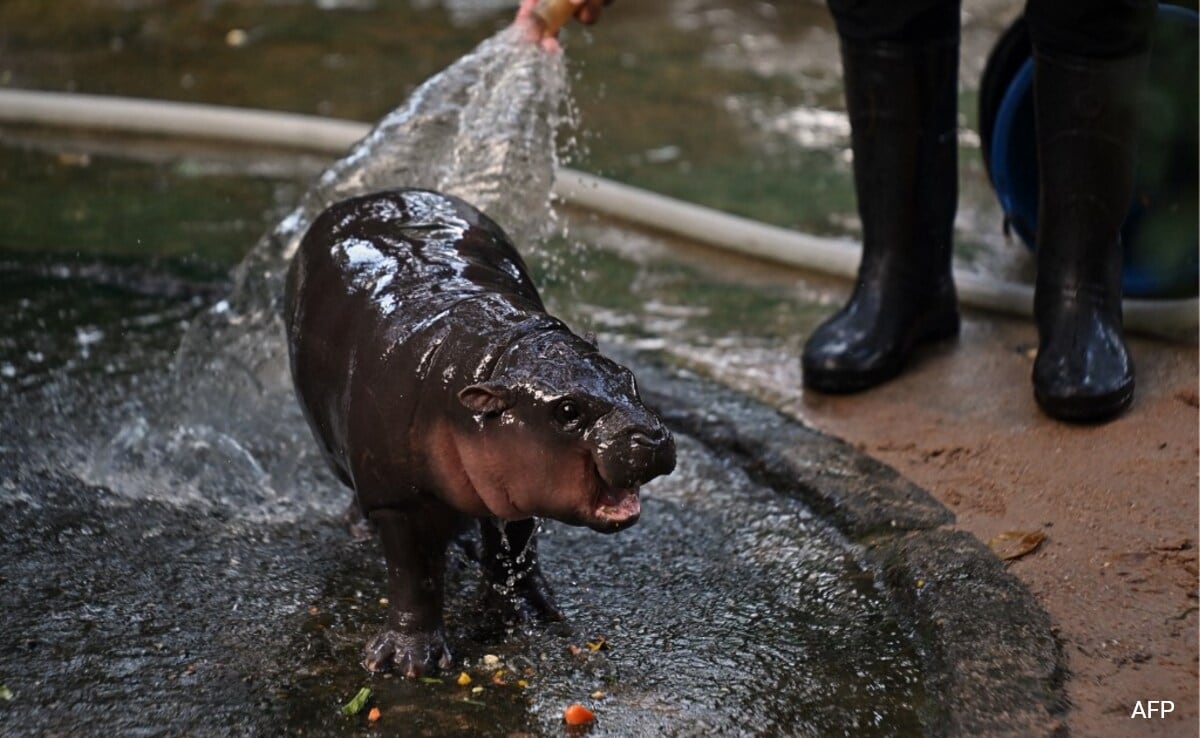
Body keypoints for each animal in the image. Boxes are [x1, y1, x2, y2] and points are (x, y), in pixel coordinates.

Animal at [282, 189, 676, 676]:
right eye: (567, 410)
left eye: (628, 378)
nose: (652, 437)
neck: (493, 356)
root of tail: (372, 196)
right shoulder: (398, 499)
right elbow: (414, 574)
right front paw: (408, 662)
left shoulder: (517, 484)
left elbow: (517, 547)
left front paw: (528, 612)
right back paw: (361, 529)